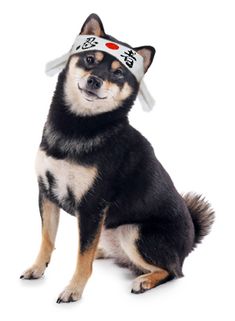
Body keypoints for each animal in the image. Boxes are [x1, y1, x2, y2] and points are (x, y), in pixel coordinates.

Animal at [20, 13, 215, 302]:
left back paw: (145, 280)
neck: (78, 127)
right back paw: (107, 255)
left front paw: (74, 289)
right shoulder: (47, 192)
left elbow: (82, 256)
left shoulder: (92, 205)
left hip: (133, 232)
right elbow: (47, 239)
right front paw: (37, 268)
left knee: (171, 271)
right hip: (110, 230)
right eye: (90, 59)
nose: (95, 80)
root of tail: (189, 242)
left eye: (118, 72)